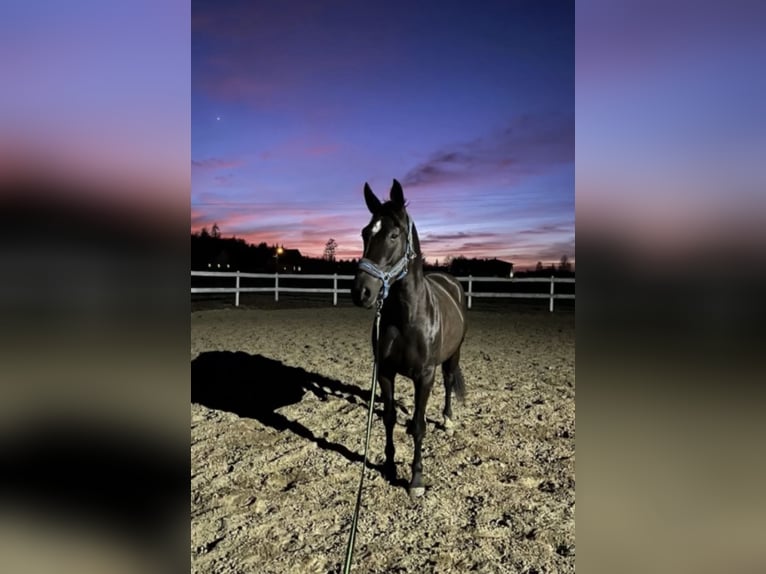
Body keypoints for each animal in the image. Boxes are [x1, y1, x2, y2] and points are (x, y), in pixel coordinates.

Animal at [351, 178, 468, 499]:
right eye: (365, 232)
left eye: (394, 234)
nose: (361, 292)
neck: (407, 317)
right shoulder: (385, 372)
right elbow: (389, 417)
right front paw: (390, 466)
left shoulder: (424, 376)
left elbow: (418, 426)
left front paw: (416, 480)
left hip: (453, 355)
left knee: (449, 381)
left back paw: (448, 419)